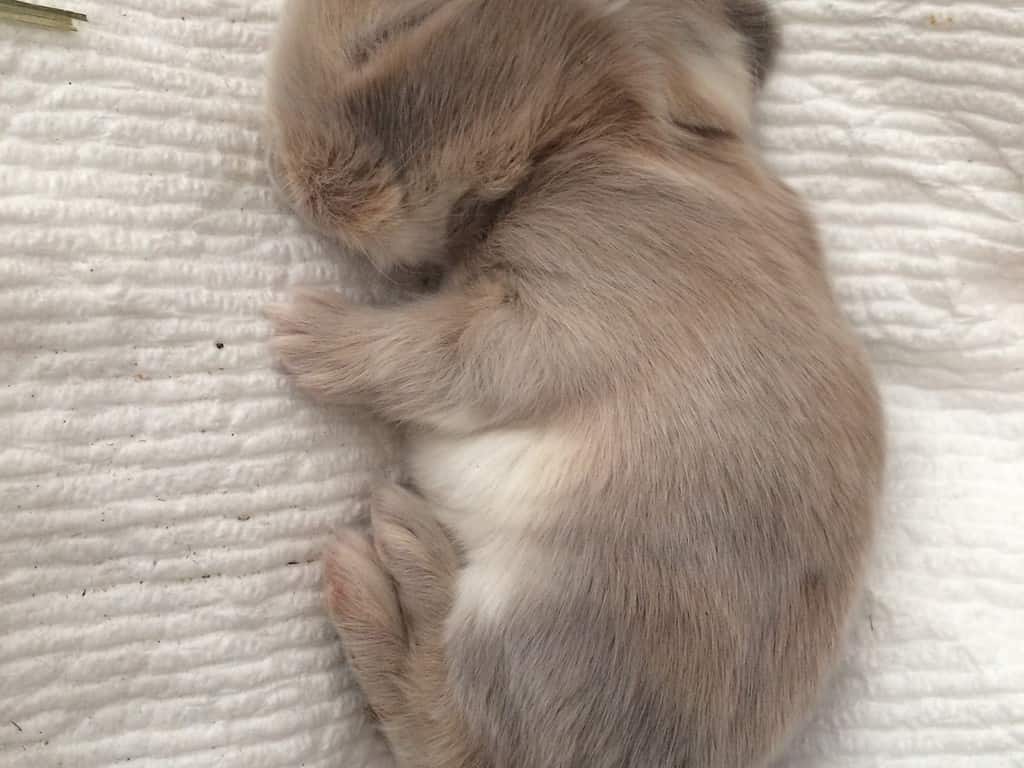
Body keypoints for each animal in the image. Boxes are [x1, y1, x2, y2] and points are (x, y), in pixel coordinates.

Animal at [268, 1, 884, 768]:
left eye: (396, 30)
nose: (296, 177)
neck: (597, 134)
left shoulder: (559, 316)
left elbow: (437, 351)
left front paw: (307, 331)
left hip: (537, 615)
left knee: (446, 719)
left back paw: (388, 558)